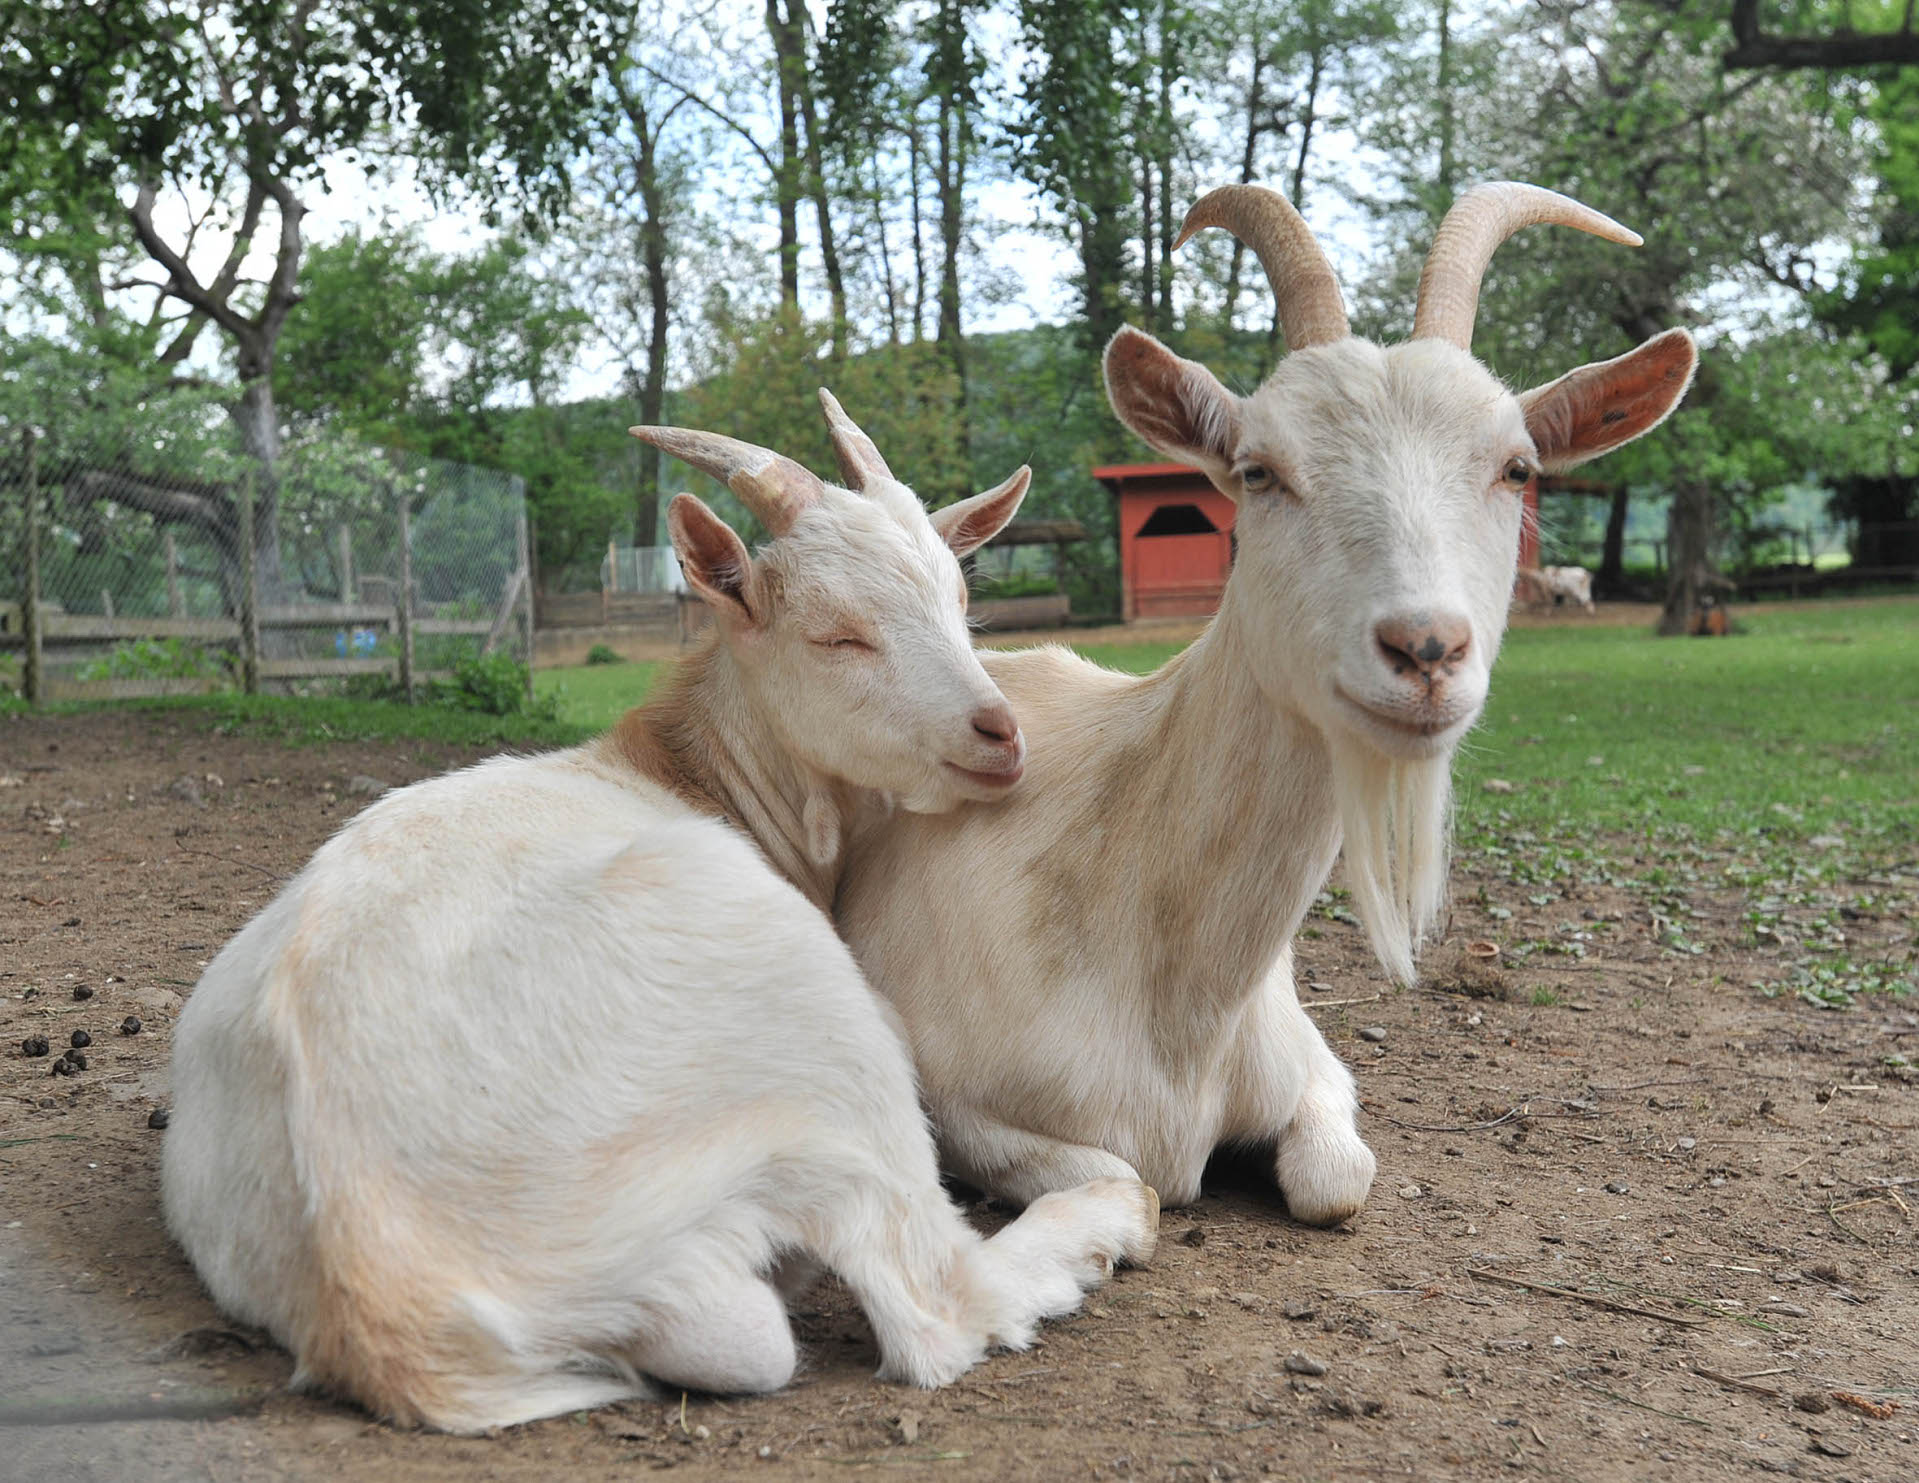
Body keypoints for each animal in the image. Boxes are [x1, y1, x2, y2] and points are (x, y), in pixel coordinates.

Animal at [161, 395, 1158, 1434]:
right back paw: (1103, 1215)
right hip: (813, 1021)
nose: (1000, 736)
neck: (683, 773)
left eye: (960, 607)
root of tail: (389, 1307)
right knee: (935, 1299)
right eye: (838, 636)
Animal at [836, 183, 1697, 1225]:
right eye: (1259, 471)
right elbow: (1131, 1187)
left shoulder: (1311, 1066)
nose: (1425, 649)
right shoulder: (954, 1104)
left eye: (1517, 468)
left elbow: (1336, 1181)